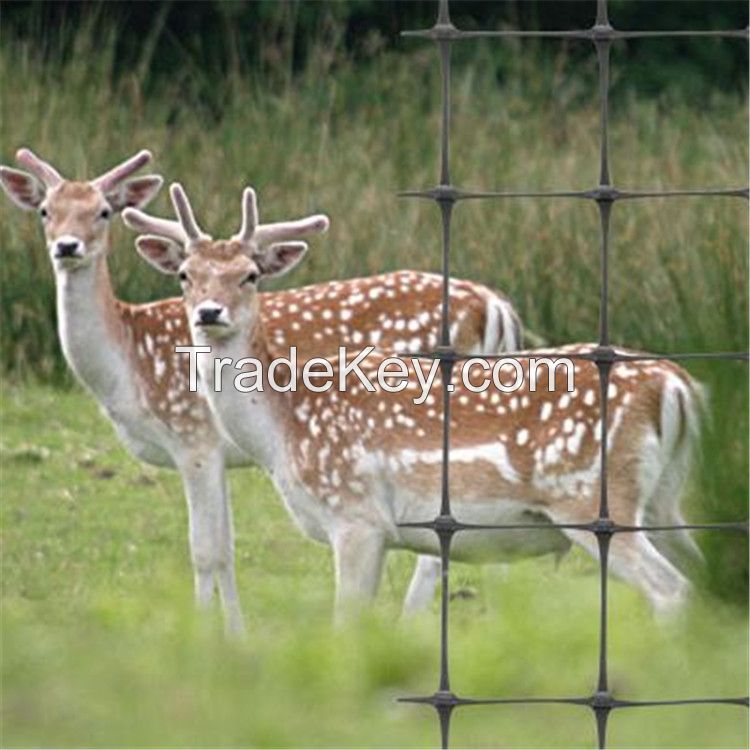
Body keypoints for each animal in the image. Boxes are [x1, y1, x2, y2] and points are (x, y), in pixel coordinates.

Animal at [1, 150, 528, 632]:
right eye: (45, 210)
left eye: (103, 211)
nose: (67, 246)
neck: (125, 369)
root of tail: (496, 305)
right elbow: (226, 546)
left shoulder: (193, 437)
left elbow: (206, 550)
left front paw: (213, 636)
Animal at [128, 182, 704, 616]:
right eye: (185, 275)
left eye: (250, 275)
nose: (209, 312)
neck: (283, 431)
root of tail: (678, 387)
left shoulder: (356, 517)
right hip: (663, 498)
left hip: (592, 499)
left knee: (672, 590)